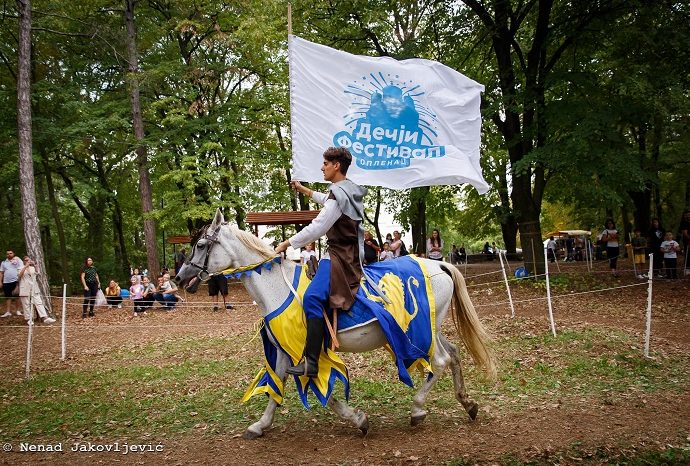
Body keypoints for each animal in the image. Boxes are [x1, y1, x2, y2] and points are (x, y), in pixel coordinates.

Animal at [175, 209, 492, 438]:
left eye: (200, 245)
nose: (179, 277)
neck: (275, 286)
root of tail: (439, 264)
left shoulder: (304, 352)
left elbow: (320, 390)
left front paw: (358, 419)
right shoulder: (284, 350)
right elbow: (277, 384)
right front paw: (260, 425)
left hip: (420, 332)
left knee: (439, 361)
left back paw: (417, 410)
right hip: (430, 329)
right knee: (453, 354)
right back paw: (468, 404)